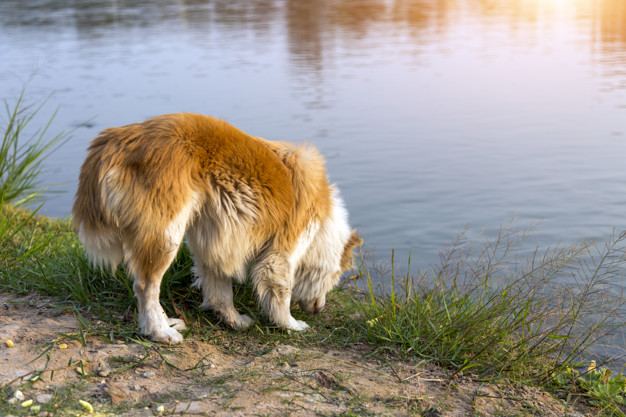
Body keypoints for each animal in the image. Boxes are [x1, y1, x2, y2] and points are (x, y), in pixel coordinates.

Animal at [71, 112, 360, 342]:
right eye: (336, 278)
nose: (321, 309)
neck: (322, 228)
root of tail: (113, 140)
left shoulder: (216, 235)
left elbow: (220, 288)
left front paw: (232, 320)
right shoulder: (281, 254)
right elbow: (281, 293)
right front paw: (290, 325)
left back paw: (168, 322)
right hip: (166, 233)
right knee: (145, 287)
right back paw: (161, 332)